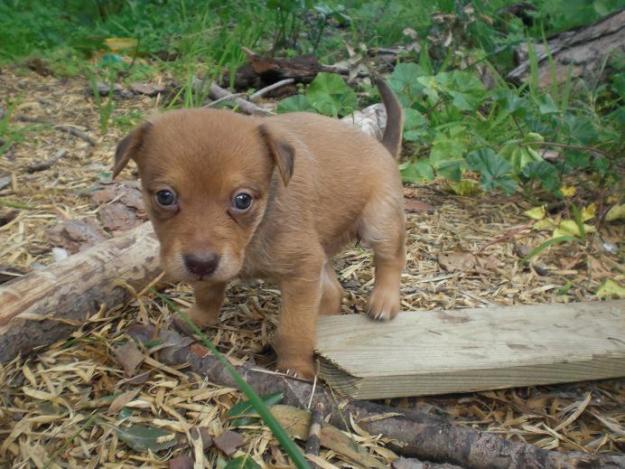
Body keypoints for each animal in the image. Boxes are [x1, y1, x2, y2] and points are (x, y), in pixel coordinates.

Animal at [112, 77, 404, 376]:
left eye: (242, 200)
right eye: (165, 196)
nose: (200, 264)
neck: (253, 235)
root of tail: (381, 146)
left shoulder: (302, 272)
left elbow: (294, 328)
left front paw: (296, 367)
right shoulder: (303, 264)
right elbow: (207, 294)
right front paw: (197, 319)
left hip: (379, 223)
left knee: (391, 258)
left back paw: (384, 301)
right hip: (322, 251)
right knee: (334, 291)